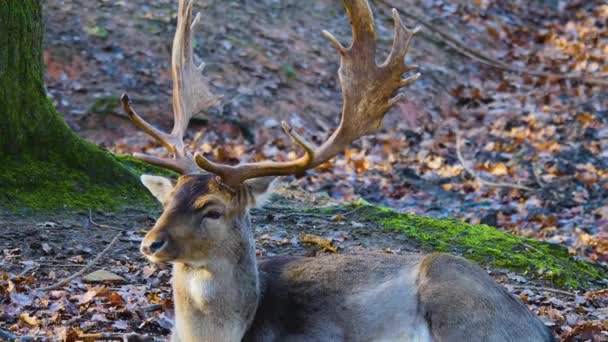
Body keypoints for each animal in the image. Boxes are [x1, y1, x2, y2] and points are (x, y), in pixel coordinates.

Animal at [120, 1, 556, 340]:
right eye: (167, 201)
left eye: (212, 210)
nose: (150, 244)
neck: (233, 331)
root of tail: (541, 329)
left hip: (460, 307)